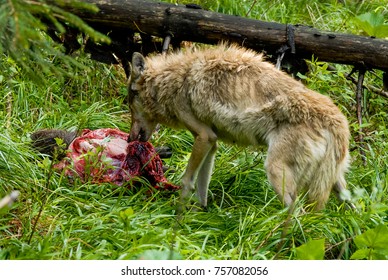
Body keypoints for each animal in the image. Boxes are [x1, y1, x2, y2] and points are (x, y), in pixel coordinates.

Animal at [127, 43, 352, 210]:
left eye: (130, 98)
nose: (129, 139)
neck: (175, 79)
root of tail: (339, 122)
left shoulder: (204, 136)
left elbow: (187, 181)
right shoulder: (212, 142)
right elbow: (202, 187)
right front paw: (200, 216)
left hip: (276, 172)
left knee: (297, 215)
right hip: (337, 186)